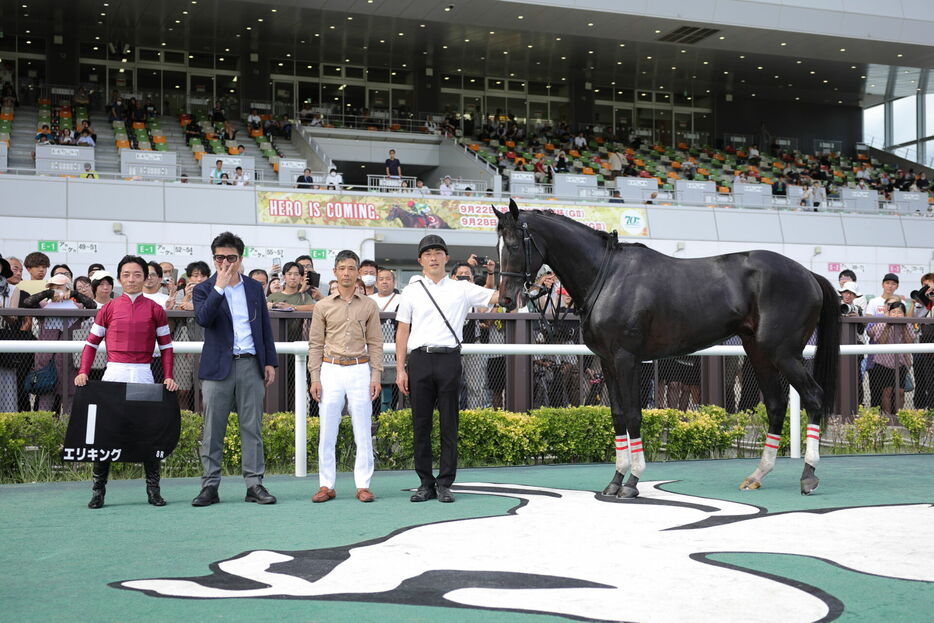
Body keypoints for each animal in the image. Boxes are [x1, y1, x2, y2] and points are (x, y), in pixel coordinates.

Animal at [498, 202, 840, 500]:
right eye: (499, 245)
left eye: (514, 245)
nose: (505, 299)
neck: (608, 277)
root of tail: (809, 275)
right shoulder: (607, 363)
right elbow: (618, 416)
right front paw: (615, 481)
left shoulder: (627, 359)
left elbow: (633, 415)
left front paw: (632, 482)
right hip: (758, 351)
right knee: (776, 404)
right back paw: (758, 475)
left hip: (783, 352)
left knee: (812, 397)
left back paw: (808, 476)